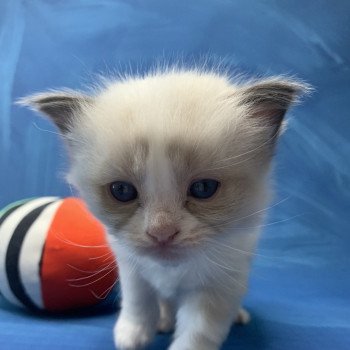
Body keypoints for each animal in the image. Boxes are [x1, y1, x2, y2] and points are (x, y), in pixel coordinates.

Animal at [19, 69, 308, 350]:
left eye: (203, 188)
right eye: (122, 191)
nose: (161, 233)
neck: (170, 271)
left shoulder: (217, 284)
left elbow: (198, 333)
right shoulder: (131, 267)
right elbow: (138, 303)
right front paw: (132, 335)